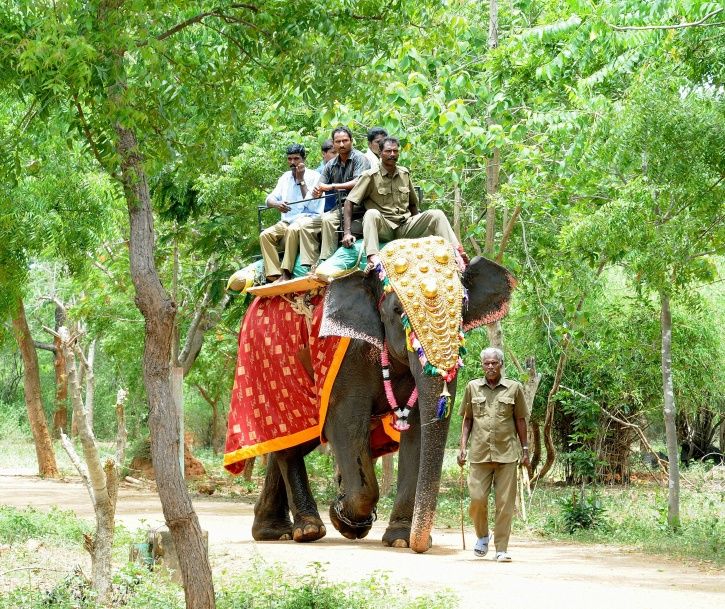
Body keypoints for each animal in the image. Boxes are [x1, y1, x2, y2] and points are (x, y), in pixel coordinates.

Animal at [248, 245, 515, 553]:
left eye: (463, 308)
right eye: (397, 311)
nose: (420, 544)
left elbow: (418, 431)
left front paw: (399, 538)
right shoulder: (348, 357)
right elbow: (346, 424)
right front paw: (345, 518)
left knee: (295, 439)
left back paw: (273, 531)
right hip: (271, 364)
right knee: (290, 435)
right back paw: (308, 530)